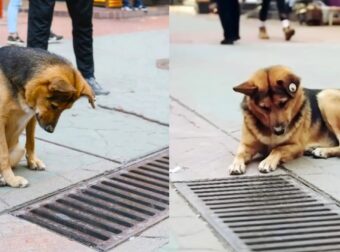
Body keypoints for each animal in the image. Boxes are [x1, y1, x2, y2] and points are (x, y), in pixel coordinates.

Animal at [0, 45, 95, 187]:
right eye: (54, 106)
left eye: (66, 109)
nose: (50, 130)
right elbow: (4, 155)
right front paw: (12, 180)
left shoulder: (32, 116)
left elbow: (31, 142)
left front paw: (33, 161)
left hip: (19, 150)